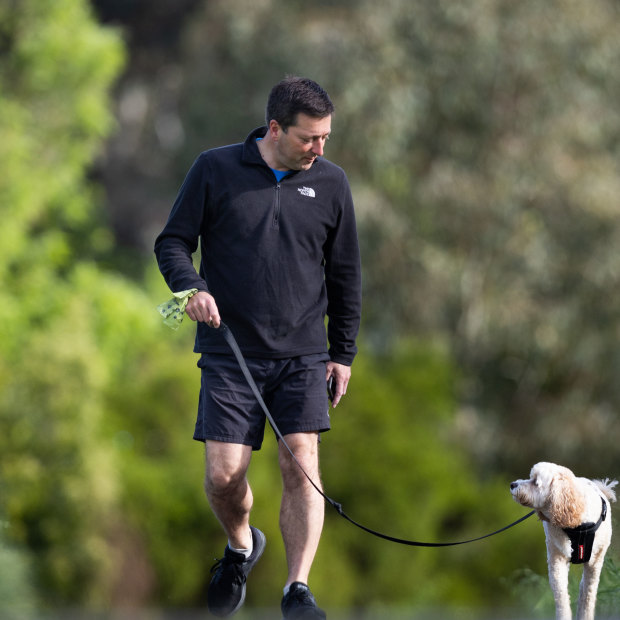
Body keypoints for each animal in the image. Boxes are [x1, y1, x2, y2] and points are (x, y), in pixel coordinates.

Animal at [512, 462, 616, 620]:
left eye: (536, 482)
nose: (512, 484)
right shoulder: (557, 559)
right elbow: (561, 597)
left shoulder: (594, 563)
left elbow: (588, 596)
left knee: (583, 588)